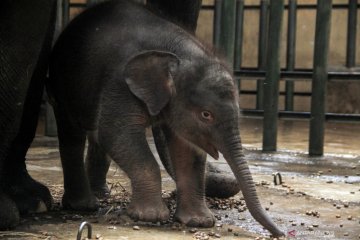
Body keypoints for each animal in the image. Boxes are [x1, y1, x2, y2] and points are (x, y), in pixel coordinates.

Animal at [47, 0, 284, 236]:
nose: (279, 233)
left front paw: (198, 222)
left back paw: (100, 194)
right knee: (73, 134)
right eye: (206, 115)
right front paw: (149, 216)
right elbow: (116, 134)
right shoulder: (119, 83)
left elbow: (187, 149)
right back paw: (84, 205)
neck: (176, 55)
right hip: (62, 82)